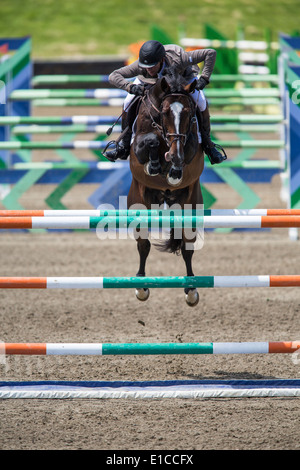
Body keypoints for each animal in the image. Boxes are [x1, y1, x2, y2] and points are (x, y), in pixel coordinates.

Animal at [125, 67, 205, 308]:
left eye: (188, 113)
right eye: (165, 112)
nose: (174, 154)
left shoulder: (191, 146)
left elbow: (186, 151)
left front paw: (174, 169)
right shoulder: (140, 145)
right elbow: (149, 142)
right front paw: (155, 164)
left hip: (191, 206)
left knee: (187, 247)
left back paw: (191, 289)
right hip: (139, 203)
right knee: (144, 245)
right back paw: (141, 286)